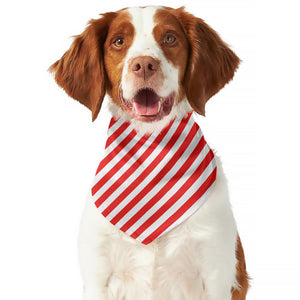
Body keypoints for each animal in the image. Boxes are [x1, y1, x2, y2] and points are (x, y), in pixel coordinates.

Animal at [50, 5, 248, 300]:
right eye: (119, 41)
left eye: (170, 38)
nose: (144, 65)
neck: (152, 143)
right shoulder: (98, 272)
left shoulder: (216, 270)